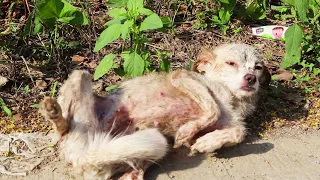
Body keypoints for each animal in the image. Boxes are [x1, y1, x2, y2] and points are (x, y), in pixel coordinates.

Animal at [39, 43, 270, 179]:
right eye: (231, 63)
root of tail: (82, 157)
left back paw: (134, 173)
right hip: (81, 74)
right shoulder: (183, 77)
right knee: (61, 129)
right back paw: (54, 113)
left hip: (149, 146)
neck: (231, 97)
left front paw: (208, 142)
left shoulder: (227, 125)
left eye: (258, 67)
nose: (251, 79)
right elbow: (212, 107)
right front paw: (187, 133)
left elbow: (239, 132)